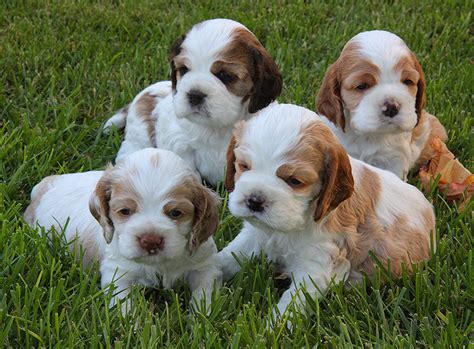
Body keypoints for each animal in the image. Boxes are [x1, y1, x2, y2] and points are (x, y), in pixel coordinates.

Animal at [23, 148, 220, 312]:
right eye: (125, 211)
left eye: (176, 213)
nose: (150, 241)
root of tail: (44, 186)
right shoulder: (117, 273)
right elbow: (125, 308)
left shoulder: (205, 265)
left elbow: (203, 296)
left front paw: (199, 320)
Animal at [104, 18, 284, 188]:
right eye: (184, 69)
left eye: (225, 75)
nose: (195, 95)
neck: (218, 127)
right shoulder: (181, 146)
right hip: (138, 136)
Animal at [220, 104, 436, 320]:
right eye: (244, 166)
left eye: (294, 181)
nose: (254, 201)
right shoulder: (254, 234)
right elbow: (229, 255)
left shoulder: (317, 264)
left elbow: (291, 306)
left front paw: (273, 327)